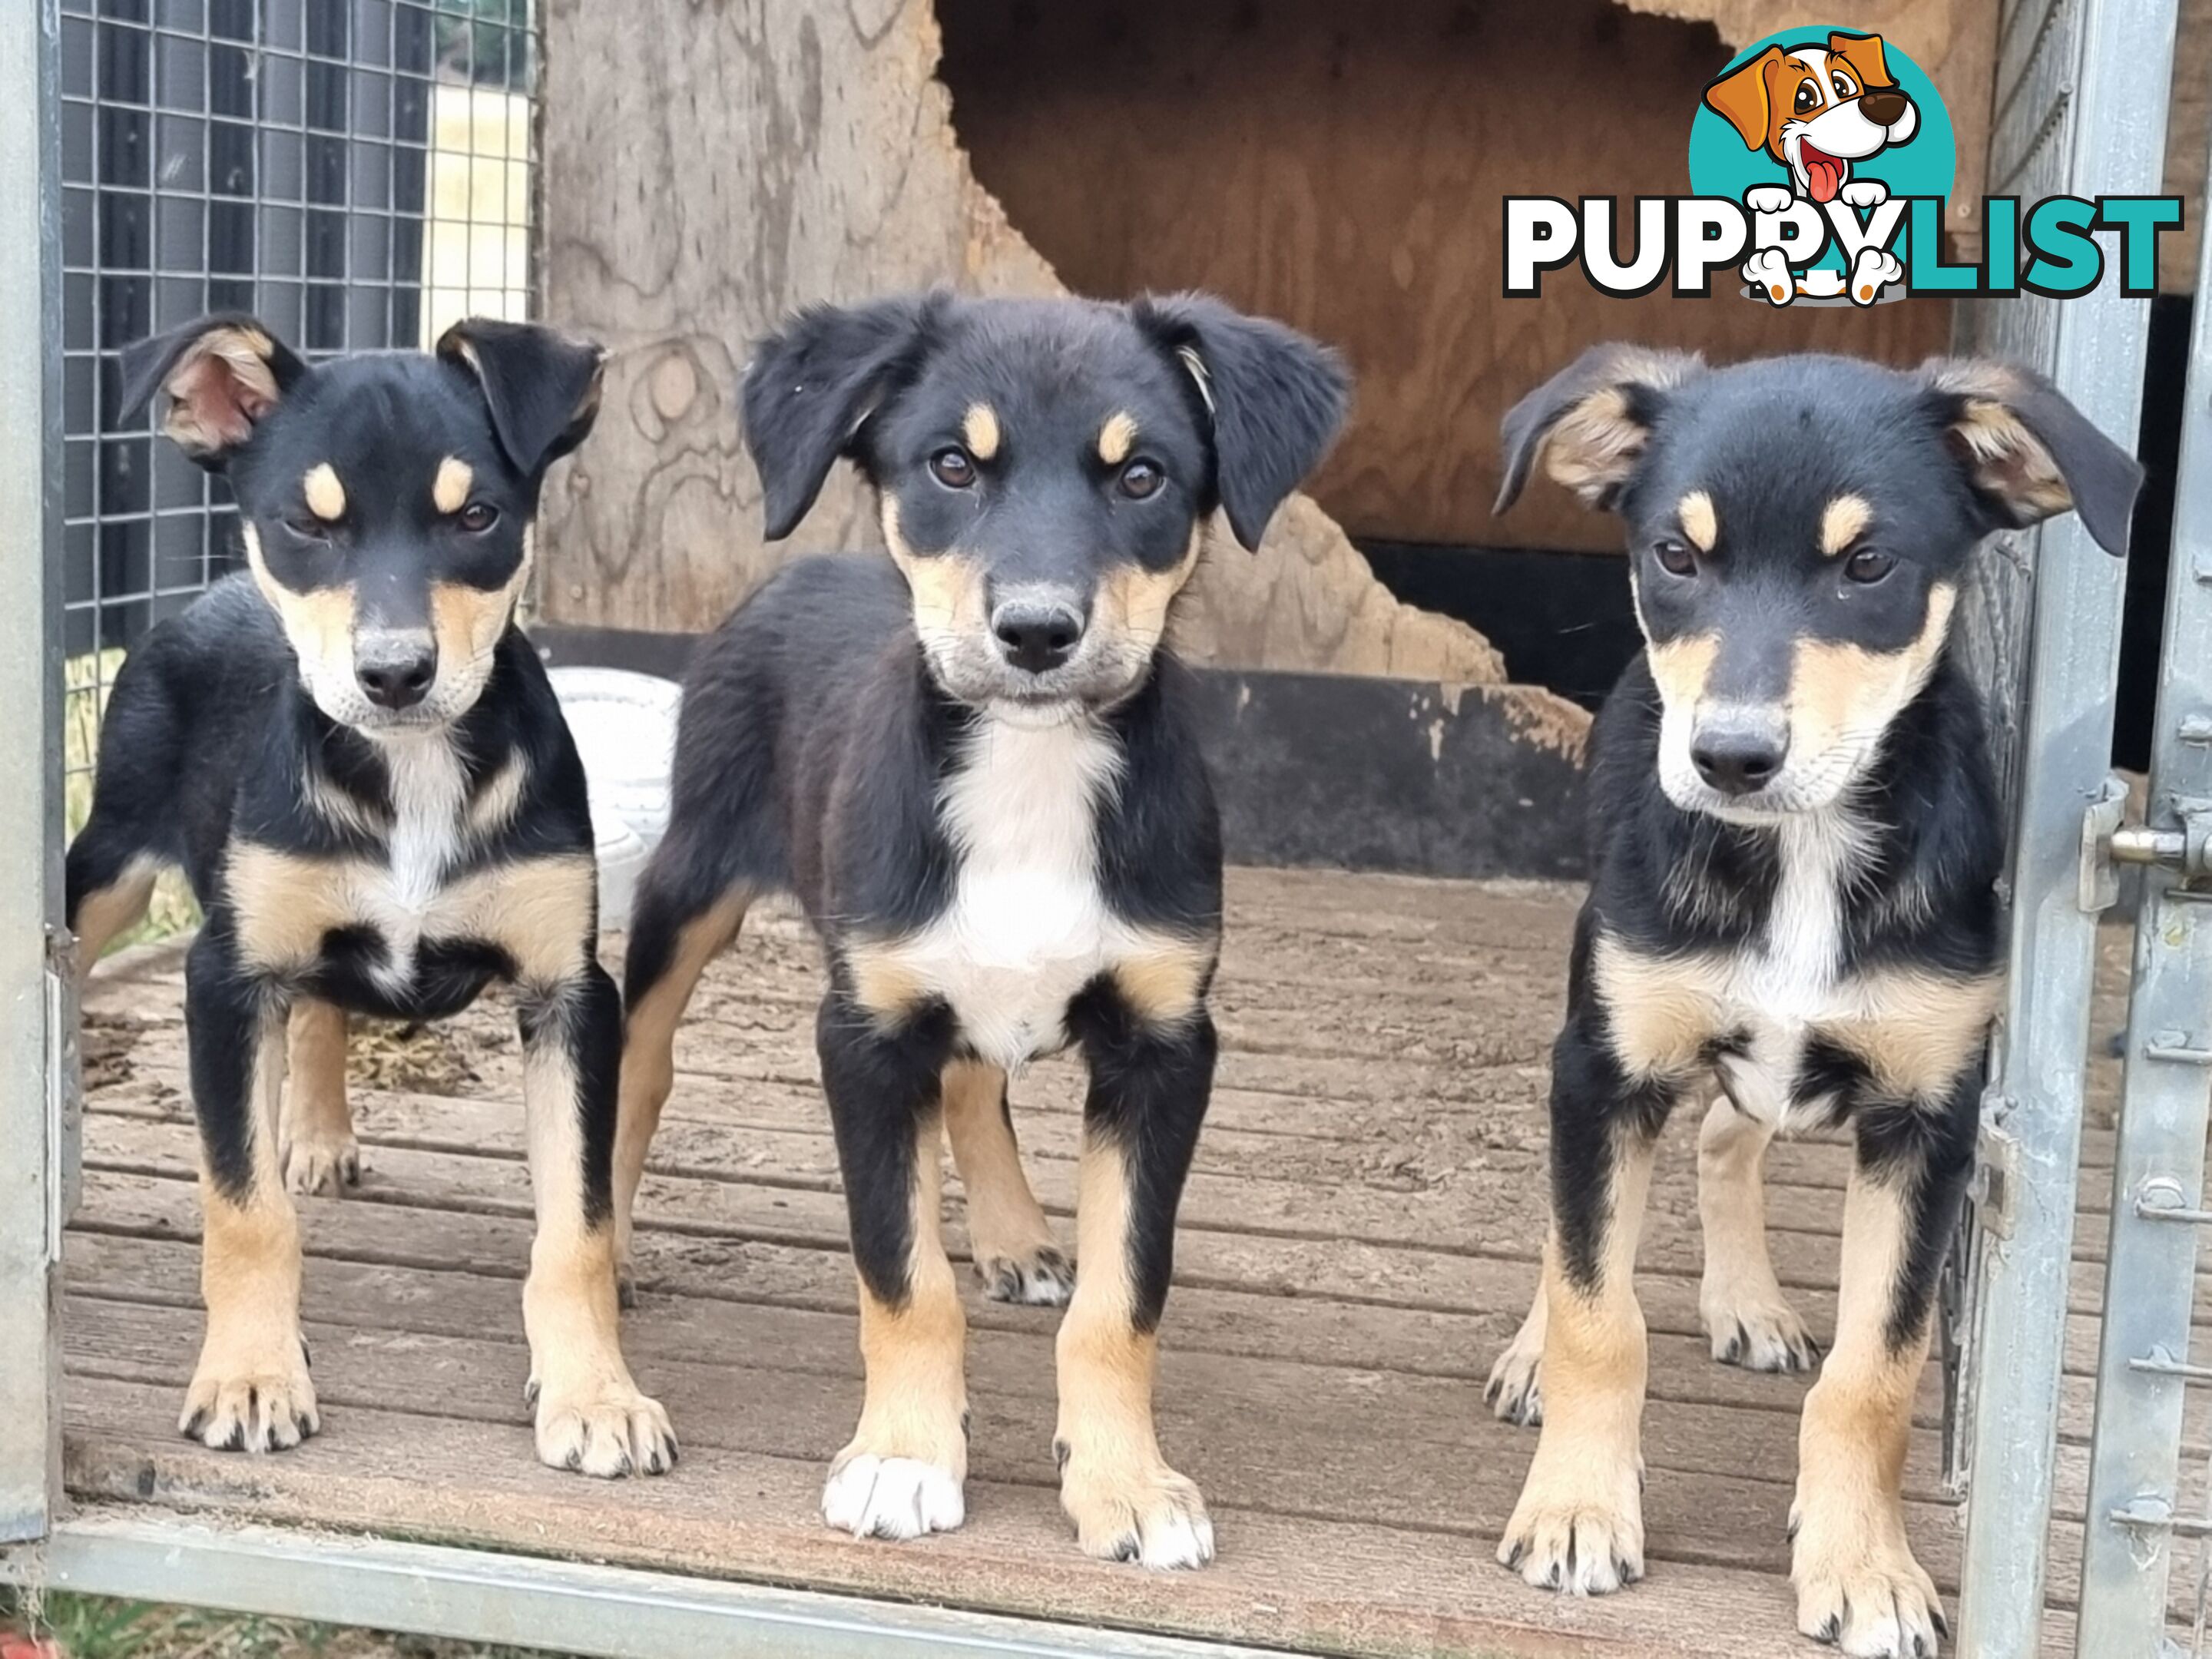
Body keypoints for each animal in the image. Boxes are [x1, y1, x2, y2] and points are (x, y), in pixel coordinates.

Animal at [69, 312, 672, 1477]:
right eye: (306, 524)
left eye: (478, 517)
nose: (395, 674)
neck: (412, 770)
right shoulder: (224, 975)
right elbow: (242, 1208)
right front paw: (251, 1378)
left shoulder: (570, 997)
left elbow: (574, 1225)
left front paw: (598, 1394)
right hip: (110, 866)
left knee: (320, 1008)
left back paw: (319, 1134)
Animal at [619, 290, 1345, 1575]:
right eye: (952, 465)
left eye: (1143, 476)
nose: (1038, 631)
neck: (1028, 769)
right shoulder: (863, 1035)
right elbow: (903, 1275)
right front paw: (906, 1458)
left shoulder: (1165, 1043)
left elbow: (1123, 1295)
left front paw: (1125, 1483)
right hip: (691, 880)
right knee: (639, 1062)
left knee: (971, 1083)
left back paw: (1015, 1236)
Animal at [1486, 345, 2141, 1654]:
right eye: (1676, 557)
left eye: (1869, 566)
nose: (1731, 758)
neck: (1800, 853)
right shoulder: (1606, 1064)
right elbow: (1598, 1307)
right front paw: (1578, 1509)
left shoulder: (1926, 1123)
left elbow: (1876, 1374)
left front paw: (1866, 1566)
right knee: (1585, 1225)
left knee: (1727, 1139)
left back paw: (1746, 1301)